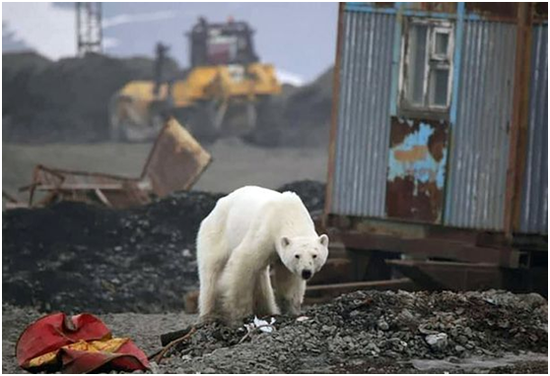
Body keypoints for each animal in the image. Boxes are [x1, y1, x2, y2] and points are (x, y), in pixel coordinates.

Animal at [196, 187, 330, 324]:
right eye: (297, 255)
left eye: (314, 255)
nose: (306, 272)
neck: (289, 214)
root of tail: (215, 208)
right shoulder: (265, 231)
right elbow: (243, 261)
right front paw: (241, 314)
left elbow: (288, 278)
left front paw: (292, 310)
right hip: (217, 233)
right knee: (211, 272)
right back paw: (210, 314)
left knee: (260, 276)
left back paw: (267, 311)